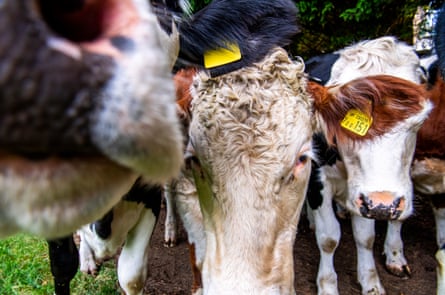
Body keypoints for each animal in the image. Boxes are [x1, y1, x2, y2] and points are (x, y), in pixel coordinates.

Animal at [304, 36, 428, 295]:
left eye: (418, 122)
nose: (384, 204)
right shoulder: (319, 179)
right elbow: (328, 238)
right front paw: (327, 285)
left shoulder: (366, 194)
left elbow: (365, 237)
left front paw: (371, 282)